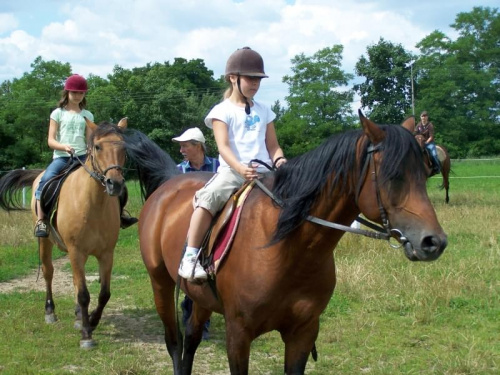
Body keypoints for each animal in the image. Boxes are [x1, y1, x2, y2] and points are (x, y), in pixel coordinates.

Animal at [0, 118, 127, 350]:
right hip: (45, 243)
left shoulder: (106, 254)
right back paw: (50, 312)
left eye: (124, 148)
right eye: (98, 147)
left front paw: (91, 321)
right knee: (49, 272)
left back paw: (78, 316)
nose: (115, 184)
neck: (93, 204)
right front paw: (86, 334)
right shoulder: (76, 251)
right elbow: (84, 294)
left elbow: (104, 293)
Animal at [124, 112, 446, 375]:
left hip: (201, 297)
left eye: (425, 172)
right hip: (160, 283)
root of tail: (169, 182)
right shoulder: (238, 334)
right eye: (394, 176)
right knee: (175, 343)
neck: (288, 248)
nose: (434, 241)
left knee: (190, 339)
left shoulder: (303, 333)